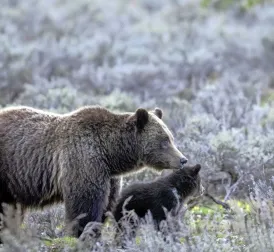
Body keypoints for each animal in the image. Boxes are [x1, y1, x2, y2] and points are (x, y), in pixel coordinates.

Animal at [0, 105, 187, 239]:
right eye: (164, 141)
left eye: (171, 138)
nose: (183, 159)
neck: (110, 154)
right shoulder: (84, 162)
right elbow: (85, 208)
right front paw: (82, 235)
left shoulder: (109, 177)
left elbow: (105, 206)